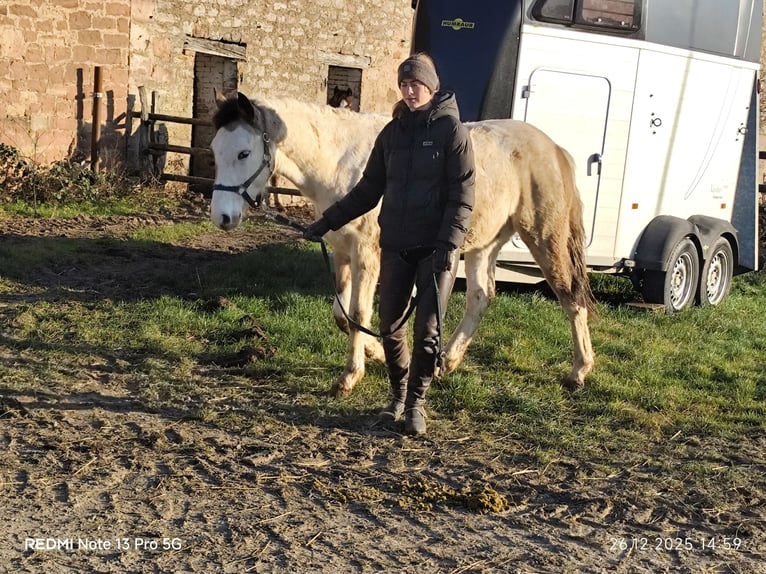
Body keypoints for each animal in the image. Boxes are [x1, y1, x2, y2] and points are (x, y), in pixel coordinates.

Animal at [209, 91, 595, 396]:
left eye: (243, 153)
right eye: (215, 149)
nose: (222, 217)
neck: (340, 162)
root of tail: (555, 149)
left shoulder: (368, 254)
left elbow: (359, 313)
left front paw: (349, 378)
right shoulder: (342, 252)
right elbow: (342, 315)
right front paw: (379, 353)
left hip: (545, 237)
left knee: (570, 297)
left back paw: (579, 371)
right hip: (483, 244)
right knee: (481, 297)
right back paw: (447, 361)